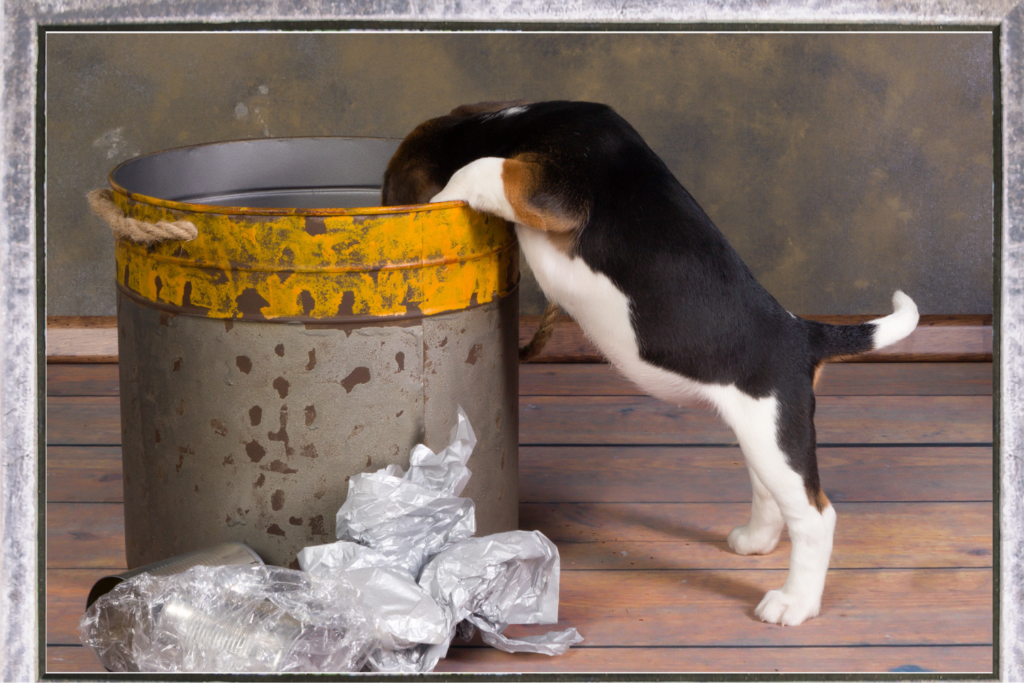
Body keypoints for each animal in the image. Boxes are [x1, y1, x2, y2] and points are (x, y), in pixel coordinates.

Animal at [378, 98, 921, 626]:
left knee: (816, 519)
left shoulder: (551, 187)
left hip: (775, 436)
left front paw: (441, 200)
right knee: (771, 494)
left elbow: (485, 167)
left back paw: (794, 604)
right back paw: (755, 540)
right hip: (761, 431)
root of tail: (804, 334)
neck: (513, 123)